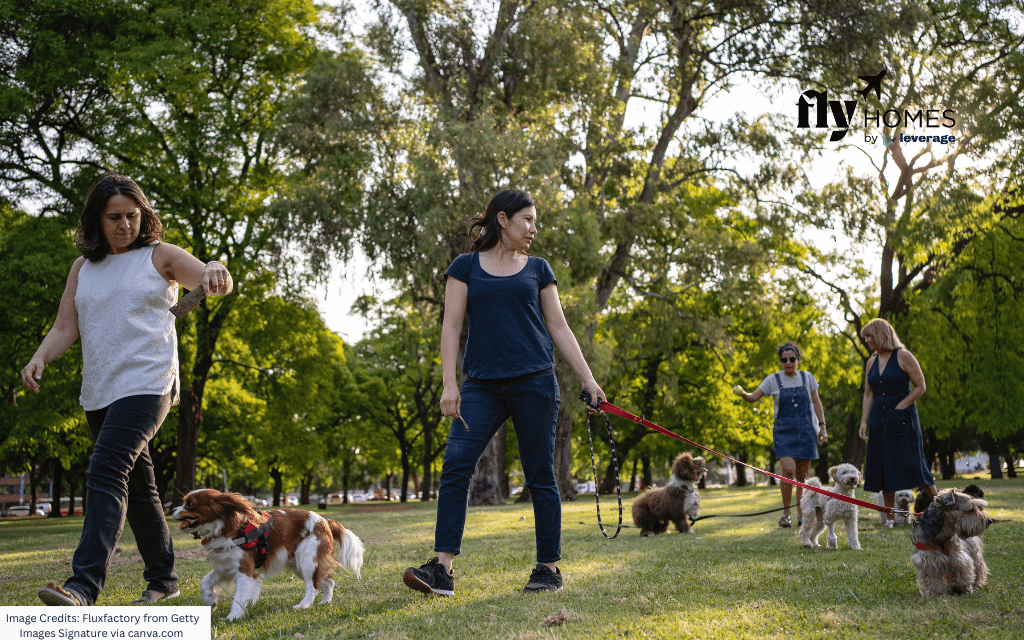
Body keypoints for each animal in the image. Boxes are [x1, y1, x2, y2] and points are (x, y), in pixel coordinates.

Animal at [174, 489, 366, 618]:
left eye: (189, 504)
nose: (171, 511)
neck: (229, 529)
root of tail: (325, 520)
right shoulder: (225, 566)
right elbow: (204, 582)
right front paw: (210, 602)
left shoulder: (245, 571)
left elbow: (238, 597)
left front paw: (232, 617)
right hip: (298, 563)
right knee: (327, 582)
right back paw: (325, 601)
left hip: (307, 560)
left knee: (313, 587)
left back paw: (302, 606)